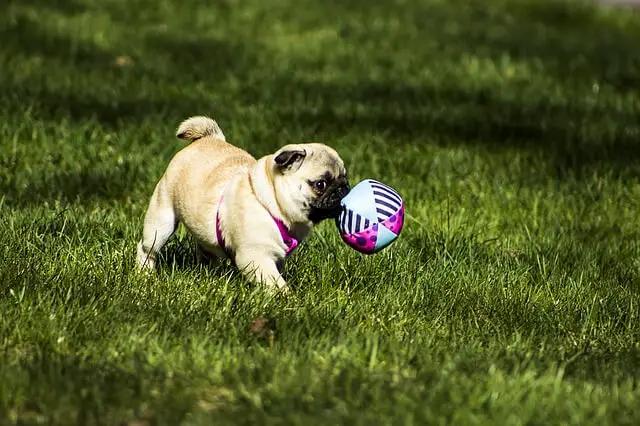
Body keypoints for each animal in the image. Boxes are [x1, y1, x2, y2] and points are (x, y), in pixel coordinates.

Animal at [136, 115, 352, 292]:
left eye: (345, 177)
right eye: (321, 184)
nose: (344, 188)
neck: (270, 202)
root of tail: (209, 138)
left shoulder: (276, 258)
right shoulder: (256, 258)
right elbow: (277, 283)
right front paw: (287, 299)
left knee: (205, 251)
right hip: (162, 222)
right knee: (147, 248)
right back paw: (145, 273)